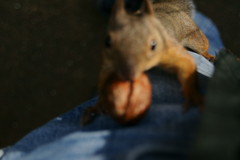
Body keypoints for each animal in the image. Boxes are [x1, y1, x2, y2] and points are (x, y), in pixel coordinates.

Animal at [80, 0, 214, 125]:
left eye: (153, 44)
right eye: (107, 41)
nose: (128, 74)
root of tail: (170, 6)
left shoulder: (168, 48)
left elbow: (185, 62)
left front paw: (192, 95)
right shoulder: (109, 63)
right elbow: (104, 78)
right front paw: (98, 105)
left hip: (194, 36)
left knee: (203, 44)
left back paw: (209, 56)